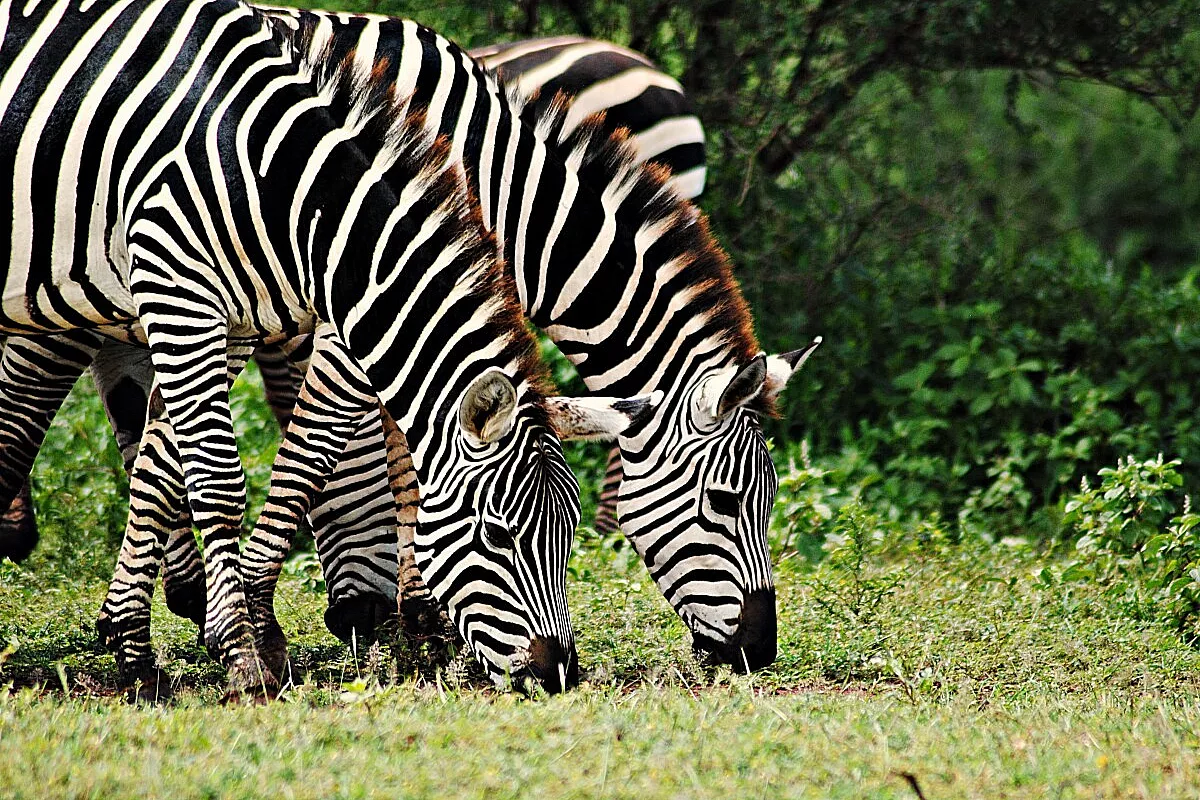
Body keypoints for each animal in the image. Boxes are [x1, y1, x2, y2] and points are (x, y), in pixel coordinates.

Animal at [6, 5, 816, 675]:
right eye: (725, 502)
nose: (759, 651)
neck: (500, 185)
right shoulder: (355, 293)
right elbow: (309, 447)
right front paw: (261, 624)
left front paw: (412, 614)